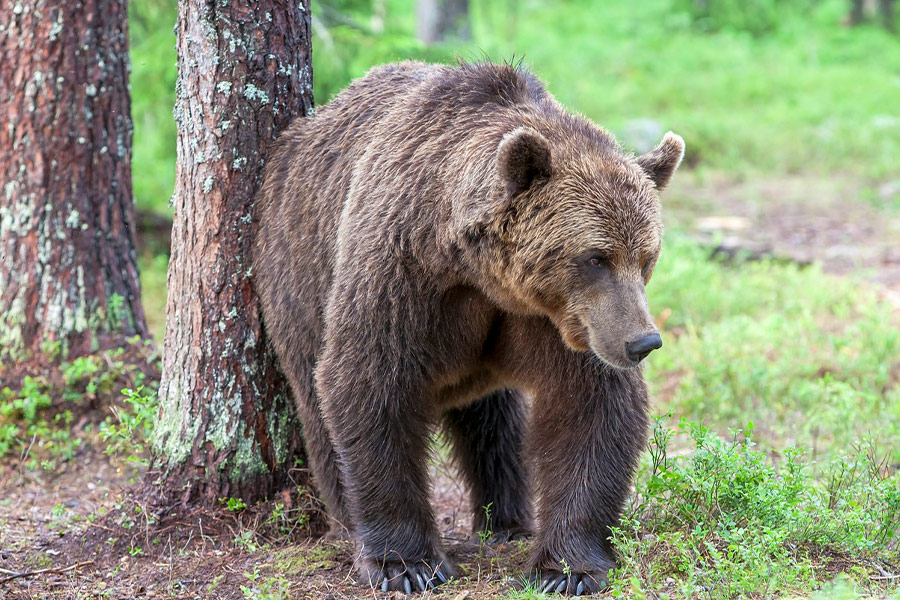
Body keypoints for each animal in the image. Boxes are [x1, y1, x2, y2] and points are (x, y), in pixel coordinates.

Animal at [253, 61, 684, 595]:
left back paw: (507, 522)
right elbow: (369, 382)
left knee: (495, 421)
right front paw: (406, 564)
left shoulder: (559, 321)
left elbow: (592, 407)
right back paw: (349, 526)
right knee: (317, 407)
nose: (643, 341)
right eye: (595, 257)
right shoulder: (401, 273)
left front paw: (567, 568)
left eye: (647, 258)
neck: (476, 271)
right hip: (296, 277)